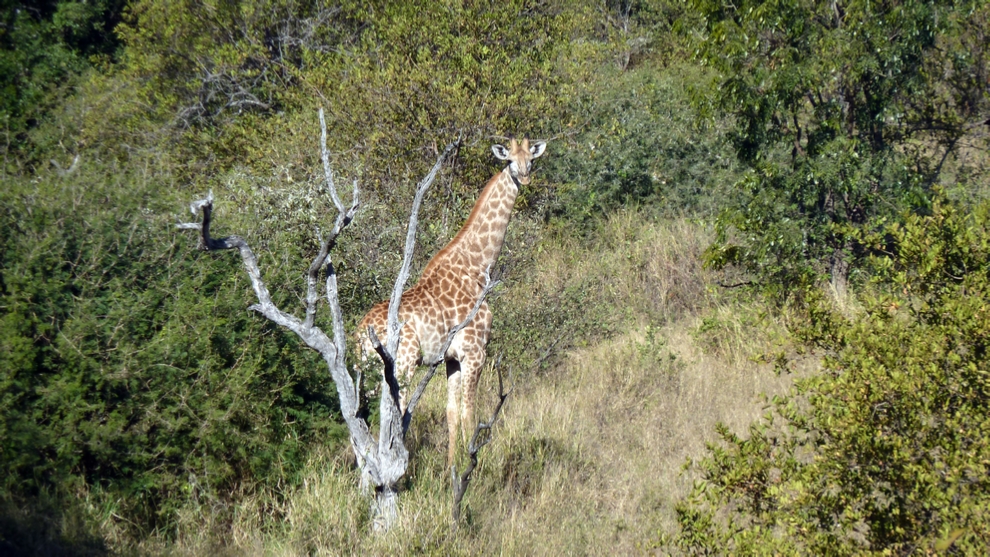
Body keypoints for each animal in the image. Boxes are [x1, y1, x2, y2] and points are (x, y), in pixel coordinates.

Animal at [356, 137, 548, 462]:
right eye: (510, 160)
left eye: (531, 160)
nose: (524, 177)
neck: (477, 267)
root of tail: (359, 333)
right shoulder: (475, 351)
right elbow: (471, 413)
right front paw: (477, 465)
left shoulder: (451, 358)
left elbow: (452, 413)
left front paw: (450, 467)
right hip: (402, 365)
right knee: (391, 419)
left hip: (369, 372)